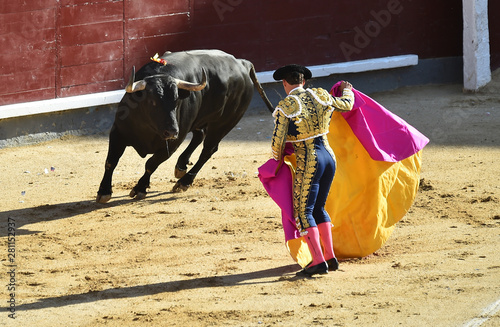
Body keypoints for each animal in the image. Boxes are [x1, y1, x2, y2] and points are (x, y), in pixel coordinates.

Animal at [95, 50, 272, 204]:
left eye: (176, 101)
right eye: (152, 101)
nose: (172, 131)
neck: (149, 128)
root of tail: (242, 63)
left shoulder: (173, 143)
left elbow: (151, 164)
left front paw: (140, 188)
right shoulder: (118, 133)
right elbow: (111, 161)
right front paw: (104, 192)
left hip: (224, 123)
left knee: (208, 150)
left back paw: (184, 182)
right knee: (199, 136)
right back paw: (181, 166)